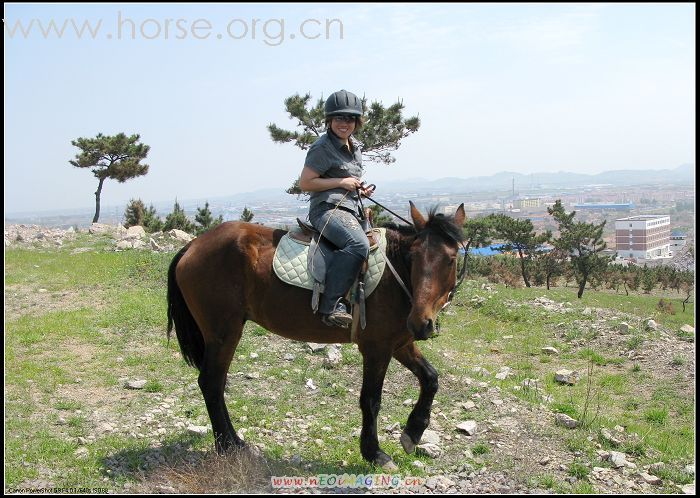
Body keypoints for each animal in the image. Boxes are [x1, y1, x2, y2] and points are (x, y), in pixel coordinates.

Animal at [167, 200, 468, 468]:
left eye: (450, 259)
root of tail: (193, 245)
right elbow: (371, 400)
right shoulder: (376, 348)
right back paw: (228, 444)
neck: (394, 274)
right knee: (211, 383)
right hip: (223, 333)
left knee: (216, 384)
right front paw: (374, 453)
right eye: (414, 257)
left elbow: (430, 378)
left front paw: (413, 433)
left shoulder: (399, 344)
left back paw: (234, 442)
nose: (421, 323)